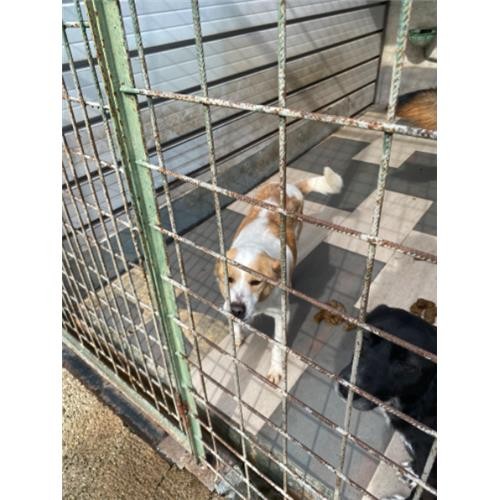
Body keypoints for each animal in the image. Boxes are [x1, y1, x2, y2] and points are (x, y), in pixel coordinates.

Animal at [215, 167, 343, 384]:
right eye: (228, 279)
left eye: (256, 282)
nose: (237, 310)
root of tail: (290, 186)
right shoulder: (227, 302)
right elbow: (234, 323)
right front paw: (237, 336)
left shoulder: (282, 315)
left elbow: (277, 345)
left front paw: (276, 370)